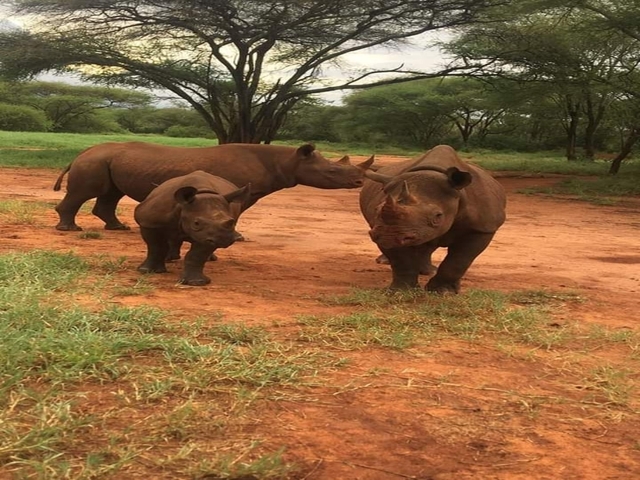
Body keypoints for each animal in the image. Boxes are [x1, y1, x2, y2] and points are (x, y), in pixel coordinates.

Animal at [53, 141, 374, 231]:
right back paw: (70, 230)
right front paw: (238, 235)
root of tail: (81, 153)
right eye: (332, 171)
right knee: (86, 192)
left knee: (111, 194)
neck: (286, 160)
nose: (359, 182)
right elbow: (237, 213)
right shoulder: (239, 191)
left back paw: (118, 228)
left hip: (105, 160)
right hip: (94, 162)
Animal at [360, 145, 506, 293]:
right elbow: (401, 260)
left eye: (437, 216)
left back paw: (428, 272)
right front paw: (401, 291)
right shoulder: (387, 227)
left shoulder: (483, 227)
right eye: (377, 210)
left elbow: (459, 260)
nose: (389, 235)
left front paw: (443, 292)